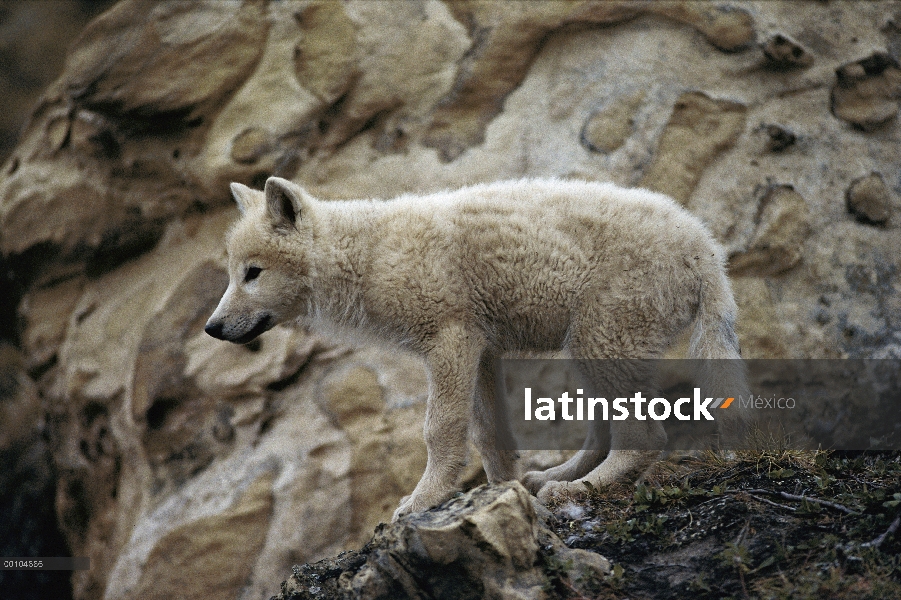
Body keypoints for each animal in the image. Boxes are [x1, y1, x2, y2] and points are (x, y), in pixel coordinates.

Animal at [204, 175, 744, 520]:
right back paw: (552, 477)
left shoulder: (450, 339)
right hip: (591, 347)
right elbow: (489, 434)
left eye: (253, 272)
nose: (212, 327)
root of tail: (704, 247)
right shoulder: (482, 349)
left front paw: (420, 502)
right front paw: (505, 492)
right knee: (607, 429)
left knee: (646, 435)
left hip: (601, 339)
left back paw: (573, 488)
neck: (370, 258)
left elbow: (439, 429)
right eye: (233, 272)